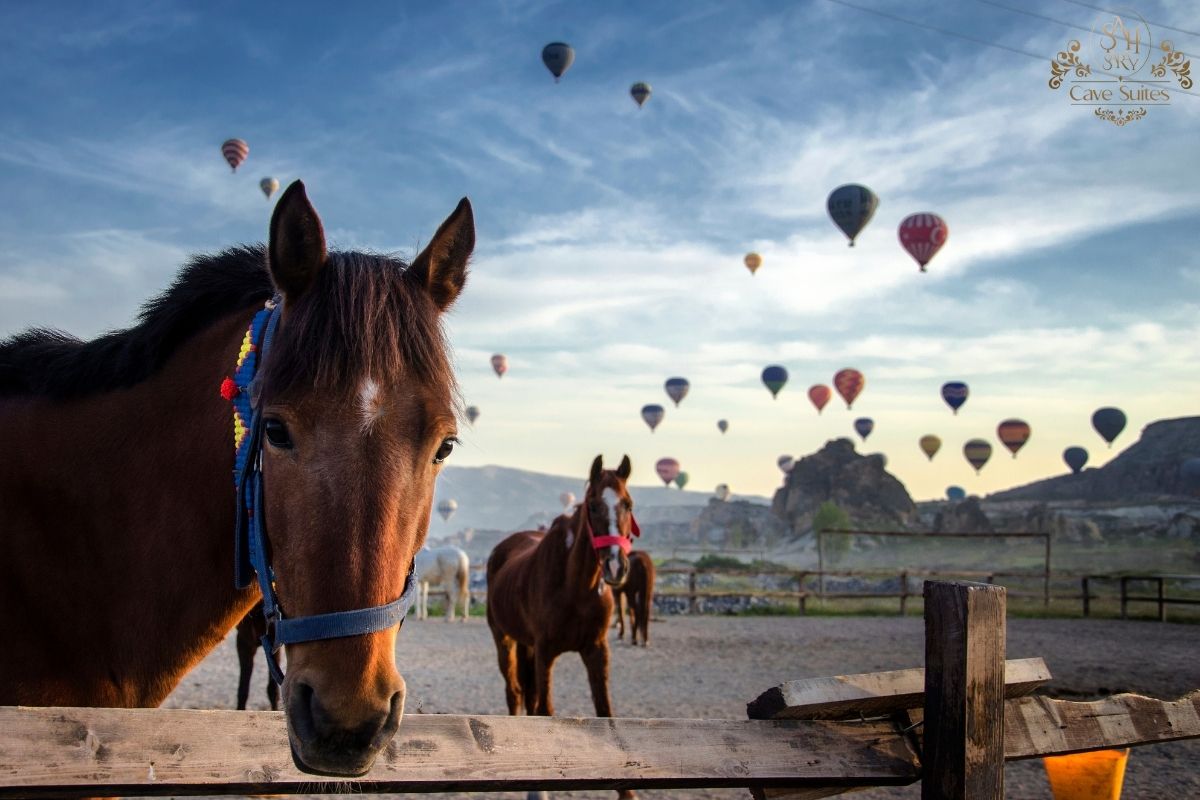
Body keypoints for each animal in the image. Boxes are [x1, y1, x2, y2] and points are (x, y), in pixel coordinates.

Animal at [484, 453, 643, 724]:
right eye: (593, 506)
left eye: (628, 504)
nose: (615, 566)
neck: (575, 588)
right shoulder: (545, 651)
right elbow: (545, 709)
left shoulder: (596, 650)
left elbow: (604, 711)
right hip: (503, 639)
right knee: (514, 692)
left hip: (526, 644)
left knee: (528, 694)